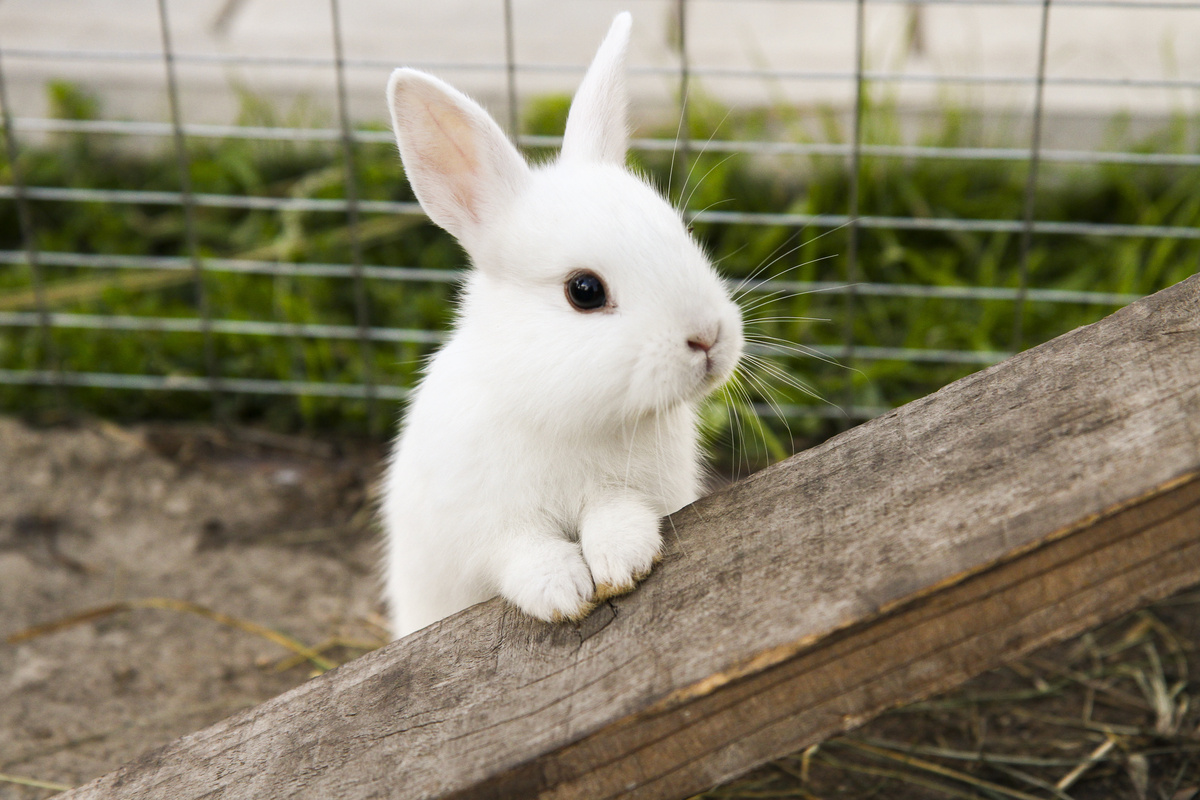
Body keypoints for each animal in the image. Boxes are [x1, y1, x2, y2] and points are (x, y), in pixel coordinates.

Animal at [381, 10, 739, 638]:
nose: (708, 339)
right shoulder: (486, 529)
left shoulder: (636, 490)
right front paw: (563, 592)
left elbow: (617, 514)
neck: (568, 415)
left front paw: (623, 561)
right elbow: (522, 553)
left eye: (680, 232)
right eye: (584, 291)